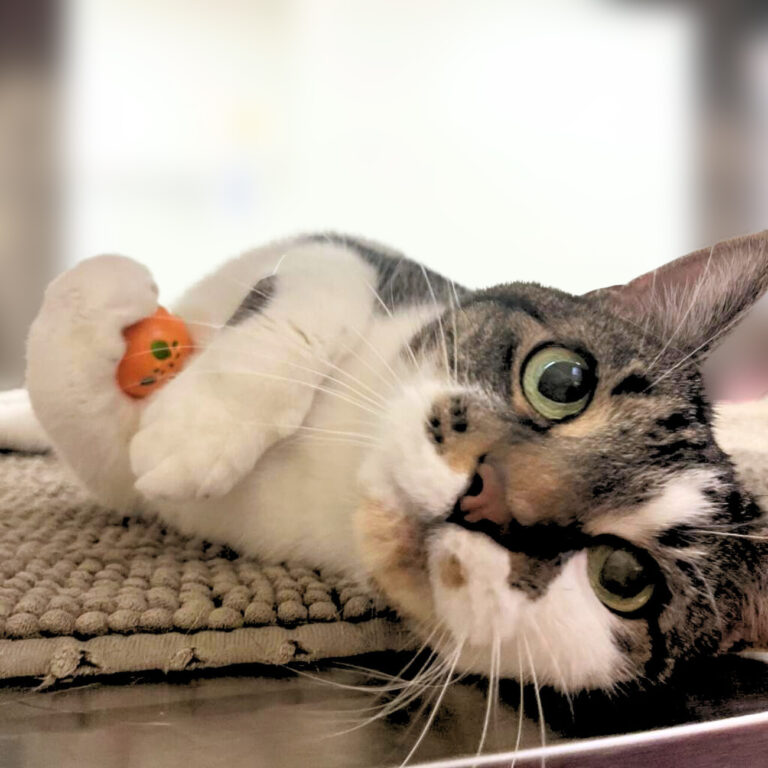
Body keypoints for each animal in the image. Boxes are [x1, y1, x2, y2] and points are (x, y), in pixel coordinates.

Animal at [1, 230, 768, 704]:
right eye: (563, 380)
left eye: (625, 579)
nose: (487, 499)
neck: (341, 467)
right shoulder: (370, 262)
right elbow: (324, 273)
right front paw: (201, 416)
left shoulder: (134, 487)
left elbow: (87, 421)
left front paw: (174, 422)